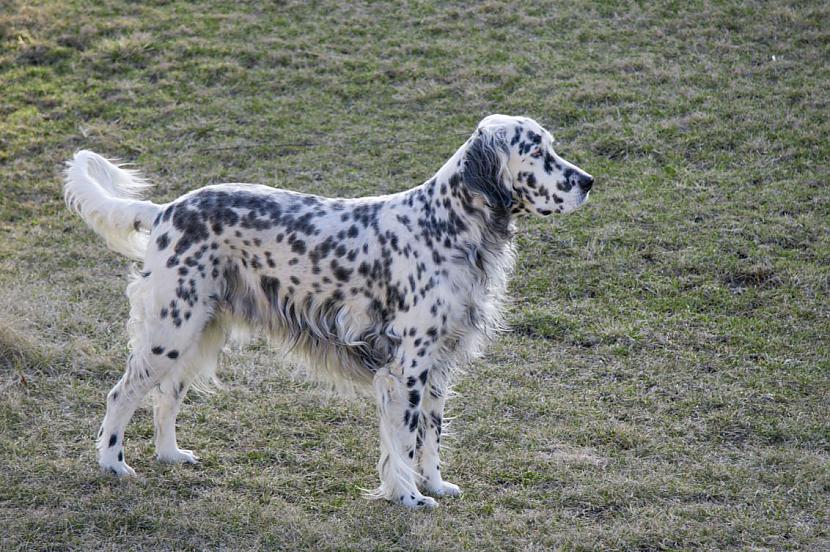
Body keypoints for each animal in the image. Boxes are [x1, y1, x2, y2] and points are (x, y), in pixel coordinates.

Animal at [66, 115, 600, 508]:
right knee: (121, 394)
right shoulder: (405, 368)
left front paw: (435, 485)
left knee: (166, 397)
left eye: (551, 146)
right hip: (170, 331)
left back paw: (171, 454)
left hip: (198, 333)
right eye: (536, 151)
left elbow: (431, 435)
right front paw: (408, 497)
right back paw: (113, 464)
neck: (446, 227)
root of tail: (164, 211)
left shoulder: (438, 367)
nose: (589, 181)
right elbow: (404, 441)